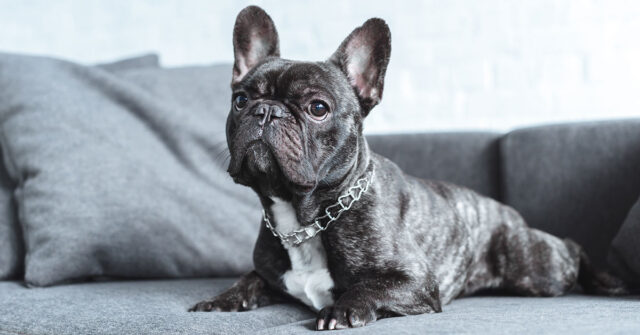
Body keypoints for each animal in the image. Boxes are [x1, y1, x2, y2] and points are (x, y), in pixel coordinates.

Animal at [189, 4, 624, 330]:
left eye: (317, 108)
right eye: (241, 100)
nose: (266, 111)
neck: (306, 218)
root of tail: (507, 214)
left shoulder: (414, 280)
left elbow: (367, 288)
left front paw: (341, 309)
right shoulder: (267, 273)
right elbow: (250, 279)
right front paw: (221, 299)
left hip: (532, 265)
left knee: (569, 249)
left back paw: (605, 280)